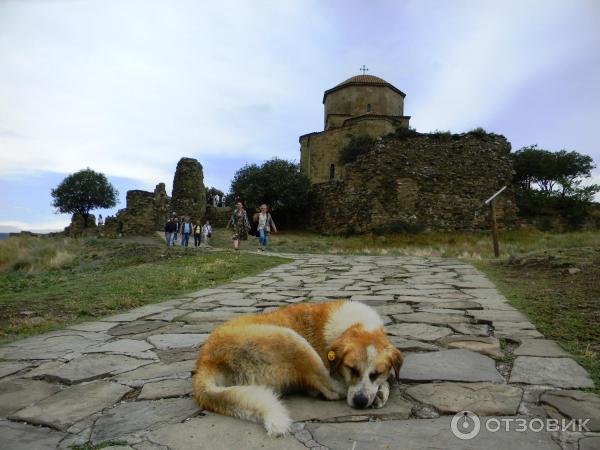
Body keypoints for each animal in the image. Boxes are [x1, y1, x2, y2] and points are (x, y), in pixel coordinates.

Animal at [193, 298, 404, 436]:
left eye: (376, 373)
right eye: (352, 370)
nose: (360, 401)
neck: (355, 325)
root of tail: (206, 361)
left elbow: (387, 379)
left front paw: (381, 390)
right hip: (291, 338)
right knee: (329, 390)